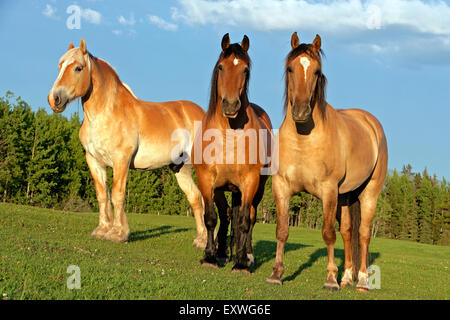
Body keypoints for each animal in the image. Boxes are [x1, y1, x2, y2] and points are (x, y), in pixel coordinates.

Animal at [46, 40, 207, 249]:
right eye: (60, 67)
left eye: (78, 68)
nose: (54, 99)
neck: (106, 114)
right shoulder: (94, 160)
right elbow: (102, 194)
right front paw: (102, 230)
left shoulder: (121, 159)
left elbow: (117, 194)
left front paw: (118, 233)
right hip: (181, 168)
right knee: (196, 199)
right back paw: (201, 240)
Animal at [192, 33, 272, 272]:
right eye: (220, 67)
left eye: (245, 69)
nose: (230, 105)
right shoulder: (207, 180)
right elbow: (212, 217)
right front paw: (210, 256)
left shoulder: (250, 182)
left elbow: (245, 220)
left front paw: (241, 262)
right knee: (226, 215)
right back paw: (222, 253)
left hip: (257, 188)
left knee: (250, 217)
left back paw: (247, 255)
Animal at [266, 33, 388, 292]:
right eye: (290, 68)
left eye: (316, 71)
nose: (301, 112)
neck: (304, 139)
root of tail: (371, 122)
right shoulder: (281, 187)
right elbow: (282, 231)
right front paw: (276, 274)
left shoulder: (329, 191)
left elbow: (328, 233)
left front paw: (330, 279)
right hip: (346, 197)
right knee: (348, 232)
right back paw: (347, 277)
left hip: (368, 194)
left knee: (363, 234)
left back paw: (362, 281)